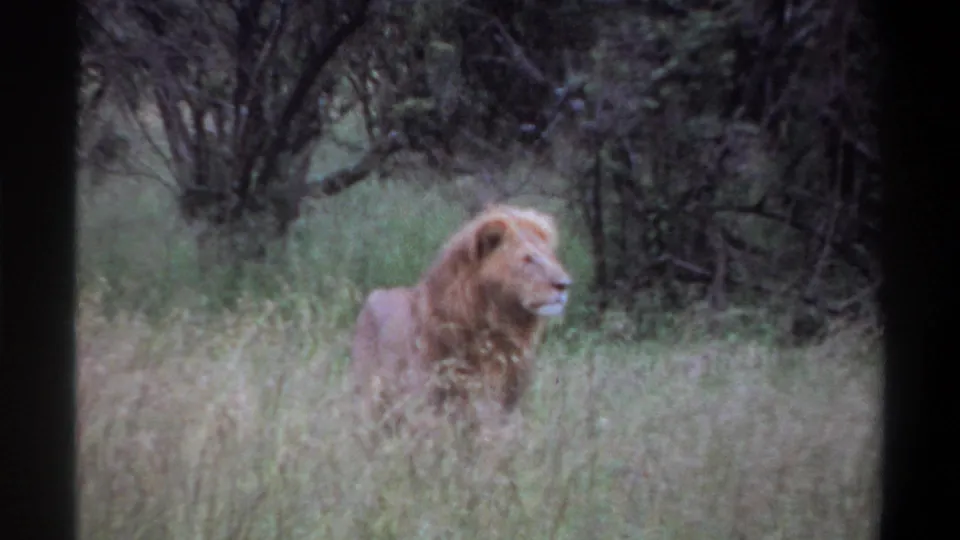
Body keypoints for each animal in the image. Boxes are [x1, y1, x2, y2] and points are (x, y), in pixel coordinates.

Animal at [350, 204, 573, 434]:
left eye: (551, 256)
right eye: (527, 259)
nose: (565, 284)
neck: (499, 329)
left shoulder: (504, 406)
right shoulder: (426, 405)